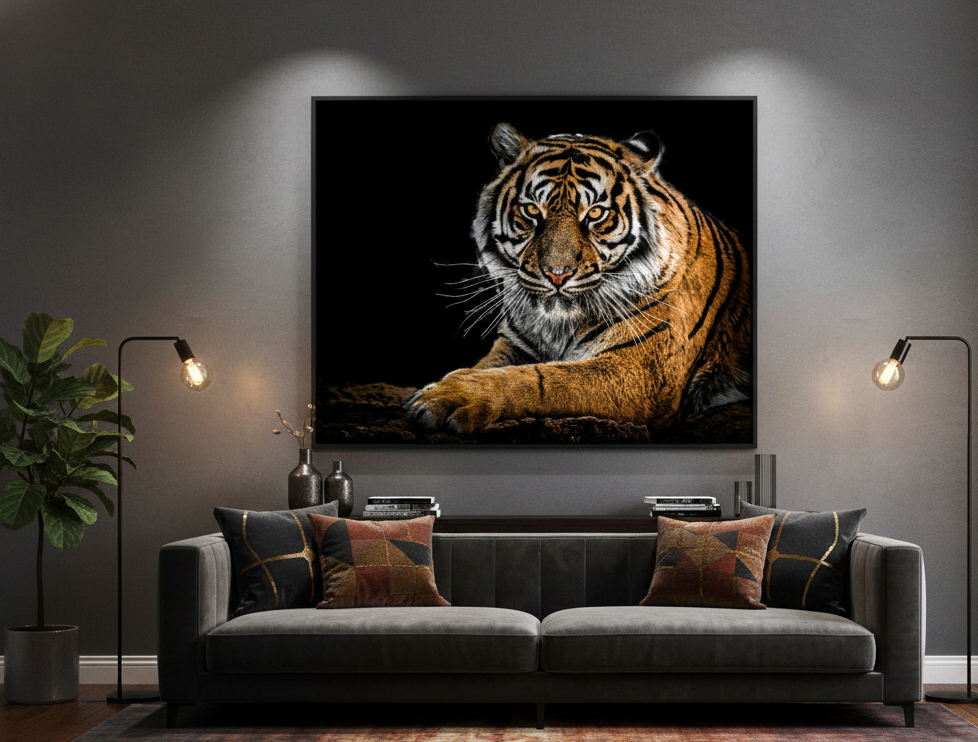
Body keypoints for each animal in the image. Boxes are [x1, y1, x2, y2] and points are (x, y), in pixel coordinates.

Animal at [404, 122, 751, 437]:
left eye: (596, 213)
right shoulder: (513, 345)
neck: (557, 327)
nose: (557, 275)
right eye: (531, 211)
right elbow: (489, 368)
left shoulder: (642, 372)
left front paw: (447, 397)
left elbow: (539, 379)